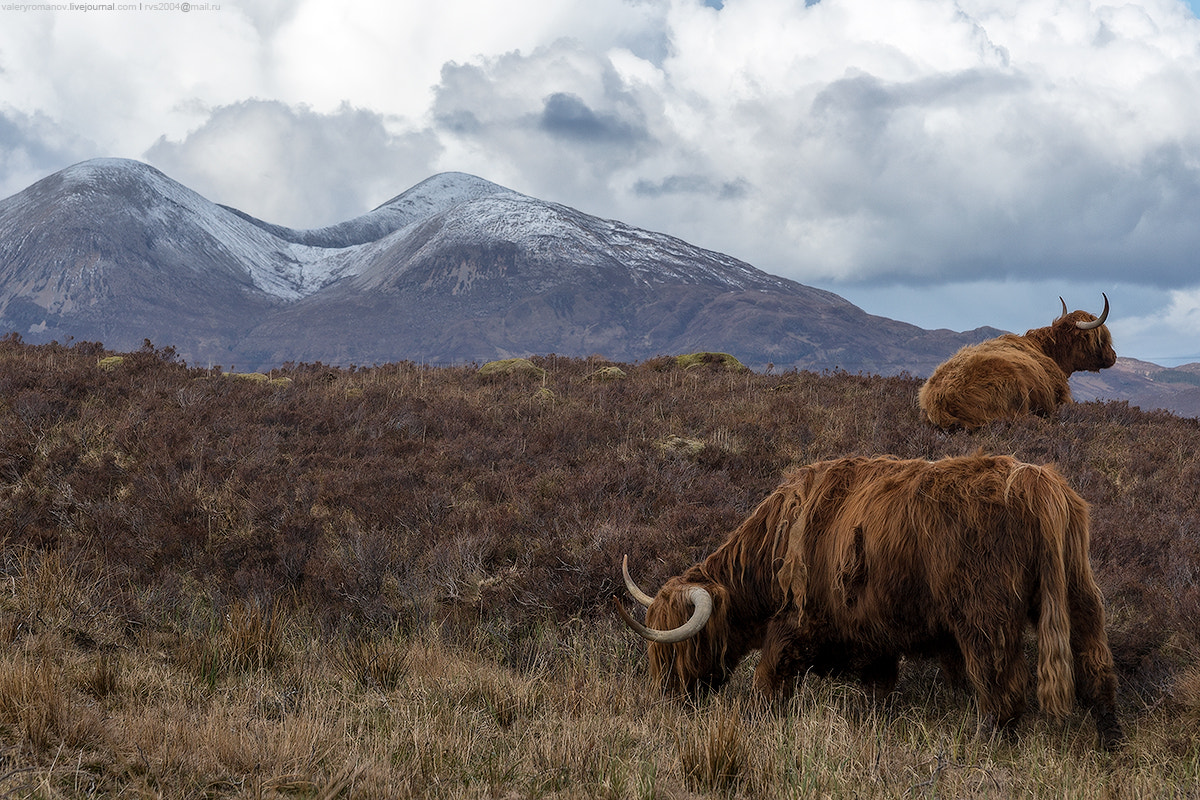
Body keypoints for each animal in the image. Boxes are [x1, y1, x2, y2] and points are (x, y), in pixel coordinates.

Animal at [615, 454, 1124, 750]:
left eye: (677, 649)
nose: (665, 698)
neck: (777, 541)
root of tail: (1037, 481)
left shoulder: (797, 623)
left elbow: (768, 678)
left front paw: (757, 722)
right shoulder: (875, 637)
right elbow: (879, 688)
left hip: (984, 612)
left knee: (1001, 683)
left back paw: (984, 744)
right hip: (1078, 592)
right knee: (1096, 663)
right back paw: (1110, 742)